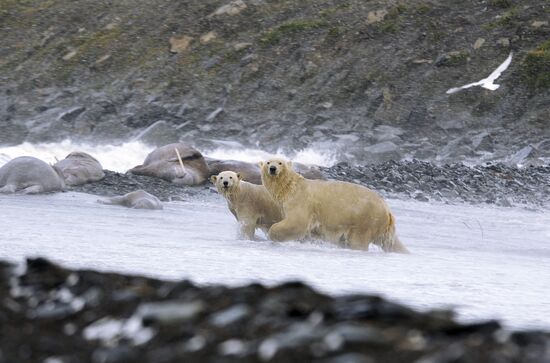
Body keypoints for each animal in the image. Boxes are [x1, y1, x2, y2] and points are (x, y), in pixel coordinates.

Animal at [262, 158, 410, 255]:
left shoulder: (302, 201)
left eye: (280, 162)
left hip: (365, 219)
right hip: (380, 226)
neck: (291, 188)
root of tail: (388, 211)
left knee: (358, 241)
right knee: (390, 242)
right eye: (268, 162)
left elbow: (297, 222)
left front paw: (272, 234)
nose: (272, 169)